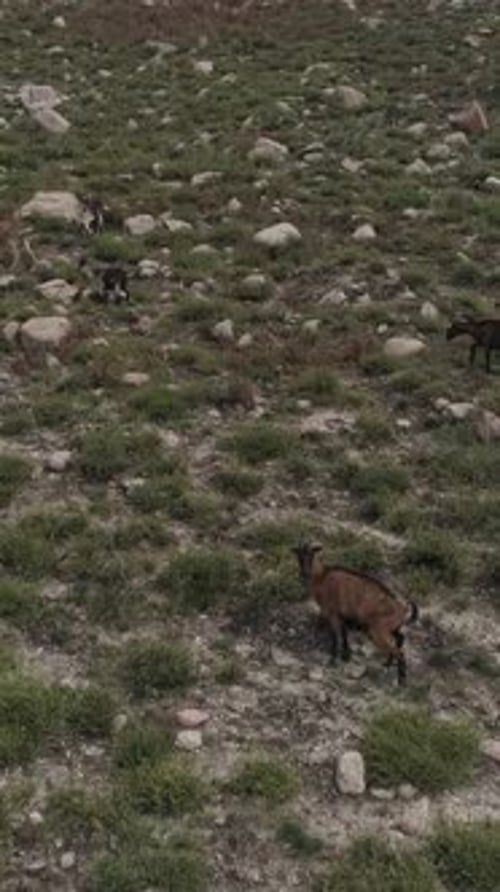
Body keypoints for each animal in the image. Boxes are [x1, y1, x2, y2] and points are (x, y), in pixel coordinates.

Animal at [292, 542, 418, 685]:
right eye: (299, 555)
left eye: (311, 554)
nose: (304, 573)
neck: (322, 577)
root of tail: (403, 609)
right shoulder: (342, 615)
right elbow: (344, 633)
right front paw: (346, 656)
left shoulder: (331, 613)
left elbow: (335, 637)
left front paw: (332, 660)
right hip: (390, 628)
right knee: (400, 638)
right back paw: (387, 664)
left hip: (378, 632)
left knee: (399, 652)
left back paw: (401, 680)